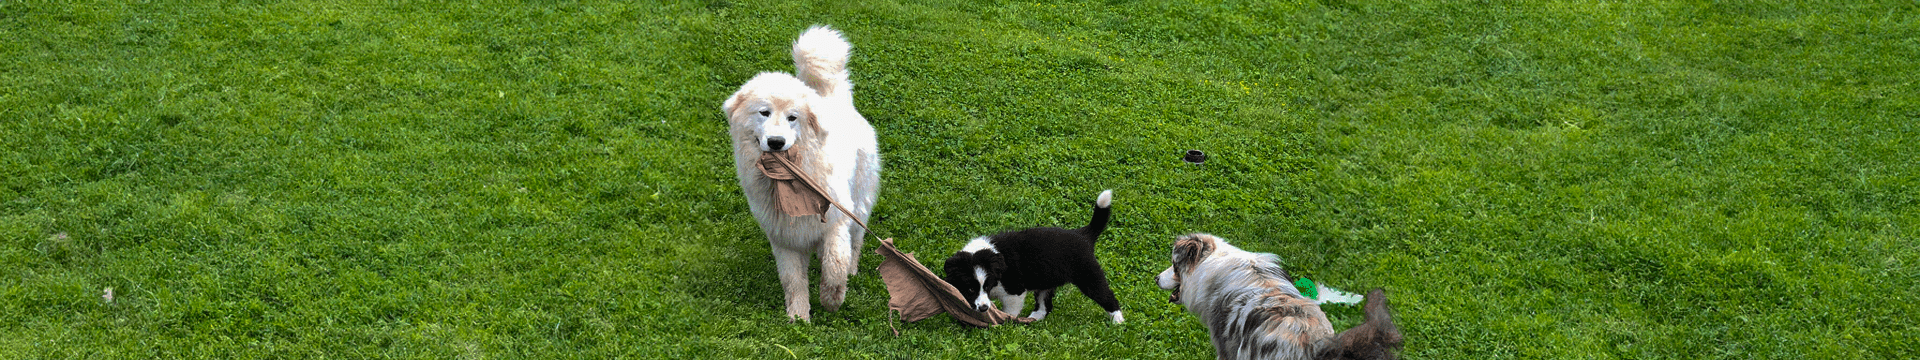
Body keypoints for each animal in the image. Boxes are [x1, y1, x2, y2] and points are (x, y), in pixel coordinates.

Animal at [721, 26, 879, 321]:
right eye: (764, 112)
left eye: (792, 117)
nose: (776, 142)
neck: (794, 178)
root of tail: (834, 99)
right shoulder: (785, 238)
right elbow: (793, 280)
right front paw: (798, 316)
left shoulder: (836, 222)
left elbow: (835, 265)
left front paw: (831, 299)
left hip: (860, 204)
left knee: (856, 241)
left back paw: (853, 269)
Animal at [936, 191, 1121, 323]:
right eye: (970, 289)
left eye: (987, 286)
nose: (983, 309)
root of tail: (1083, 235)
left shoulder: (1015, 292)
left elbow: (1009, 312)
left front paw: (1005, 324)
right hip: (1046, 283)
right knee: (1045, 306)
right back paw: (1033, 318)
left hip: (1089, 276)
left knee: (1108, 297)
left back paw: (1118, 321)